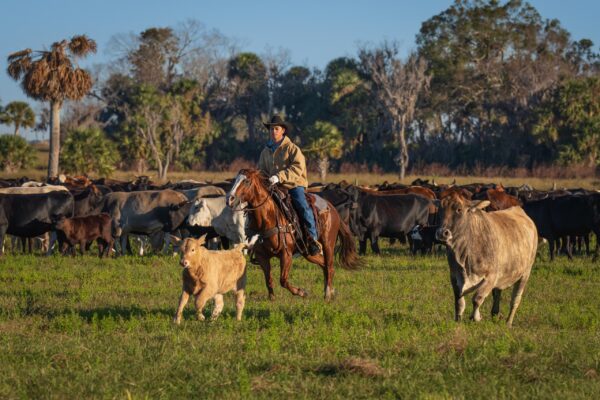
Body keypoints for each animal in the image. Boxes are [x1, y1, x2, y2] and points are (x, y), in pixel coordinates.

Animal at [225, 168, 356, 300]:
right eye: (235, 179)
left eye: (246, 181)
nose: (229, 199)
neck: (267, 217)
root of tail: (332, 209)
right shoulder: (262, 256)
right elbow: (269, 280)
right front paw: (272, 298)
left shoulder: (286, 254)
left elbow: (283, 280)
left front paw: (301, 292)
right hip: (308, 252)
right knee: (324, 265)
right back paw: (328, 291)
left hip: (328, 243)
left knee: (329, 266)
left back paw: (328, 293)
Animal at [434, 194, 536, 328]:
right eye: (440, 210)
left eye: (459, 209)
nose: (442, 233)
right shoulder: (454, 277)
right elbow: (459, 302)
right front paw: (458, 320)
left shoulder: (490, 277)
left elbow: (477, 298)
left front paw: (476, 317)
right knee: (497, 293)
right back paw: (495, 313)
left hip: (525, 273)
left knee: (515, 299)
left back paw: (508, 322)